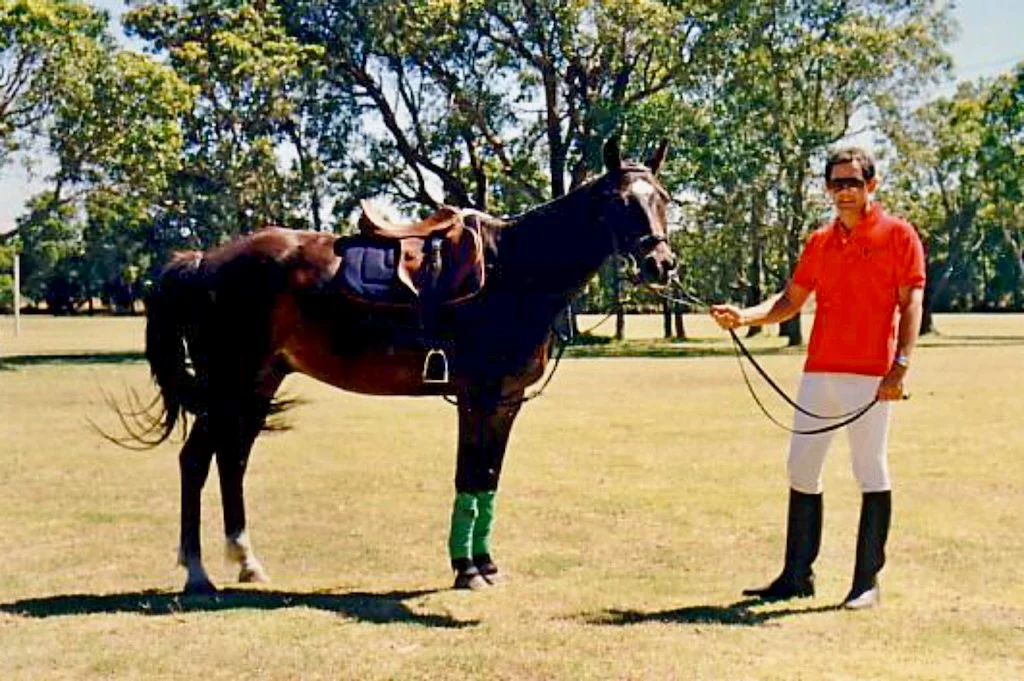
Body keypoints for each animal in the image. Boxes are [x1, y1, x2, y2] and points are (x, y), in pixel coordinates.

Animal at [122, 137, 677, 594]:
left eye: (663, 198)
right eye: (621, 203)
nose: (662, 264)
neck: (513, 271)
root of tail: (204, 262)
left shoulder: (507, 400)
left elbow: (488, 476)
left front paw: (486, 563)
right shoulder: (477, 397)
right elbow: (468, 475)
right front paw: (466, 569)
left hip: (256, 385)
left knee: (231, 460)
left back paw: (246, 561)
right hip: (227, 385)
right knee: (196, 461)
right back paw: (196, 572)